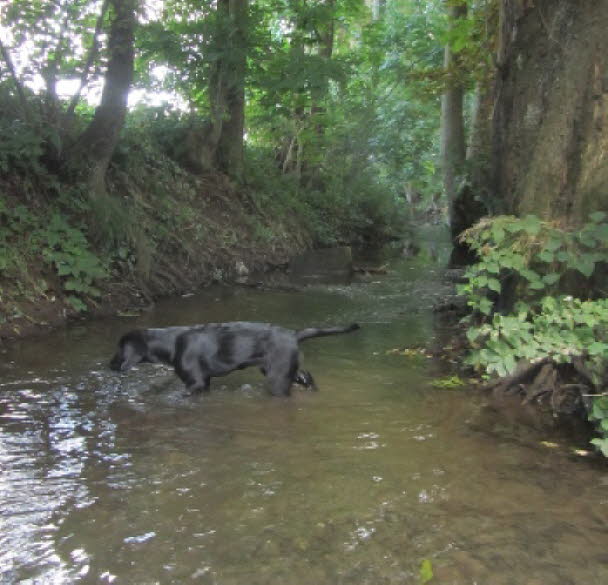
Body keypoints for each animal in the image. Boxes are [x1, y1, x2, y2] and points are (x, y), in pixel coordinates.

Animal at [108, 322, 360, 394]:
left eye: (120, 348)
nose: (109, 365)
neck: (171, 342)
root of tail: (293, 334)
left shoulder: (195, 383)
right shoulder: (205, 382)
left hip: (277, 378)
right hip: (279, 369)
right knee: (306, 375)